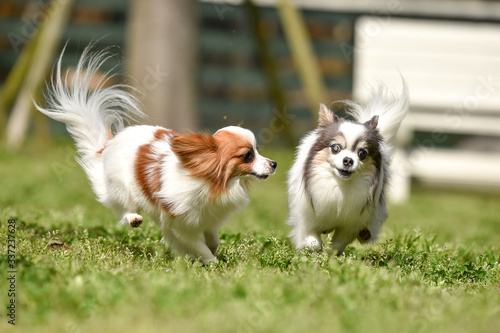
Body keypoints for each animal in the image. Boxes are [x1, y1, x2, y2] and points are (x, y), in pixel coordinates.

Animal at [36, 46, 276, 264]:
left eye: (257, 151)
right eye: (248, 155)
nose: (274, 163)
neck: (213, 183)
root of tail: (110, 144)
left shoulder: (209, 219)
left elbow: (212, 239)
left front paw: (213, 252)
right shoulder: (178, 226)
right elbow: (197, 246)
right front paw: (212, 263)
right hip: (122, 186)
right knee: (125, 208)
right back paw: (133, 218)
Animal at [288, 85, 408, 254]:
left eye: (362, 153)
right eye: (335, 148)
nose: (348, 160)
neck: (340, 186)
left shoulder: (349, 225)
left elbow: (337, 244)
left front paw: (331, 255)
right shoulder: (306, 218)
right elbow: (313, 241)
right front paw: (314, 248)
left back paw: (364, 233)